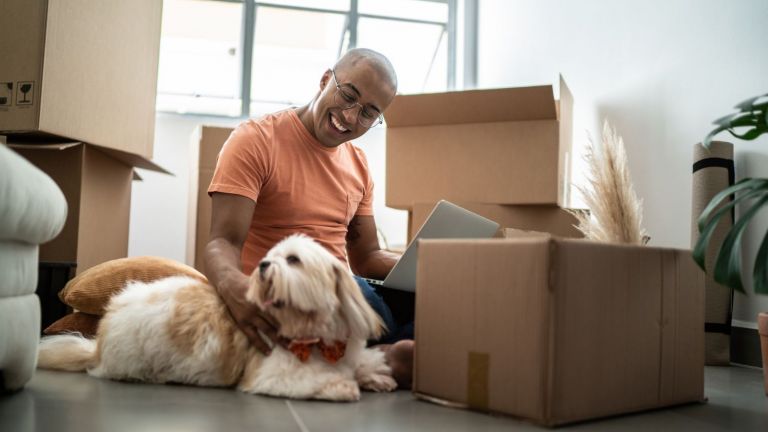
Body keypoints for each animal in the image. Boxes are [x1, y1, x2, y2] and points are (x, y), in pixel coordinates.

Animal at [37, 235, 396, 400]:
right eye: (270, 257)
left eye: (293, 260)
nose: (263, 265)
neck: (312, 333)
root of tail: (98, 343)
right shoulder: (270, 374)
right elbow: (315, 380)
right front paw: (342, 386)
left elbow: (361, 363)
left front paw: (374, 376)